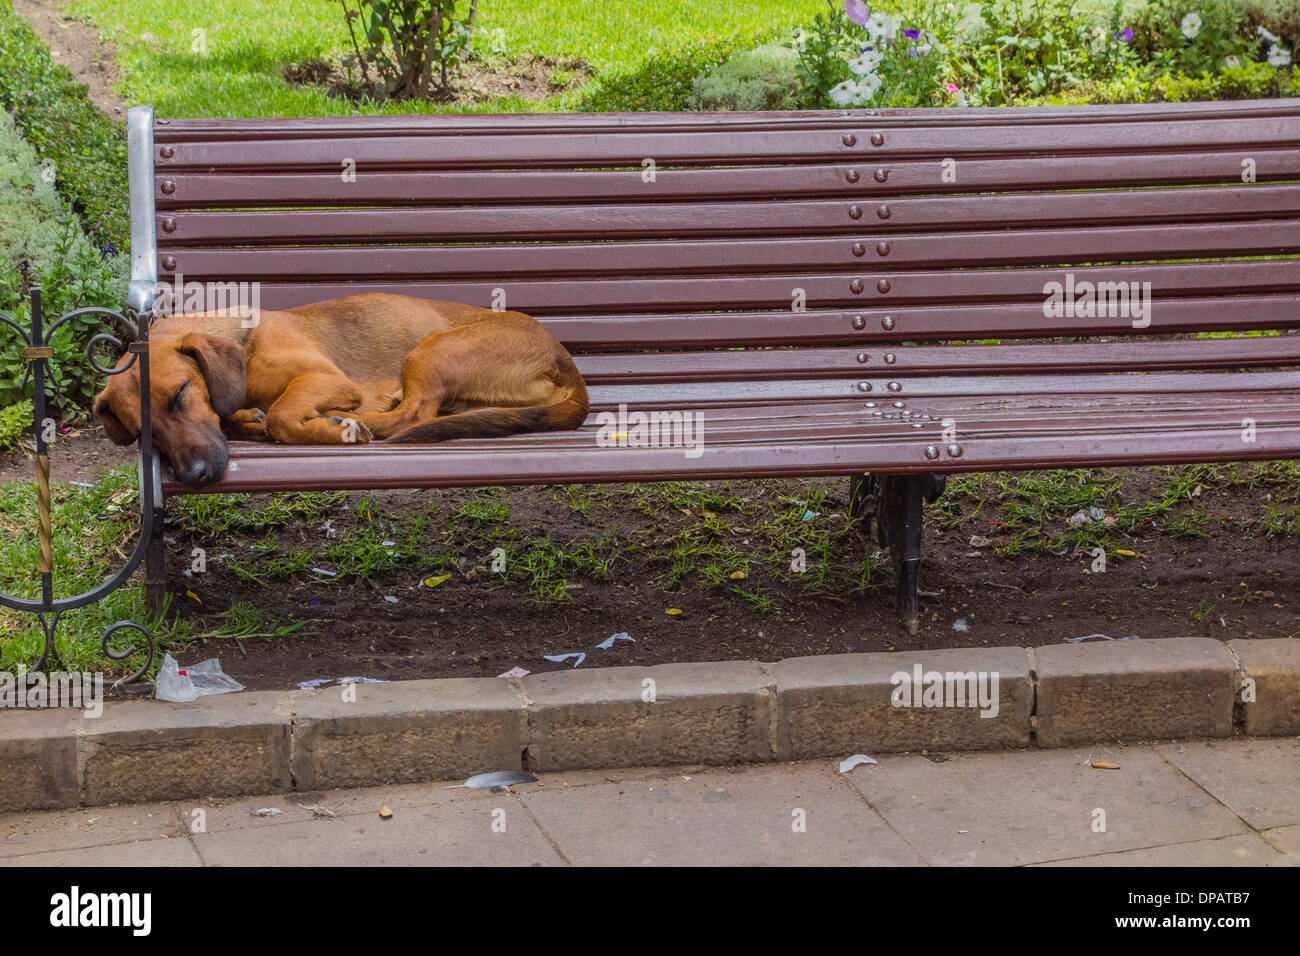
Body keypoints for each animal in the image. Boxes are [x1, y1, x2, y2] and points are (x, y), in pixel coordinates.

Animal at [94, 291, 592, 486]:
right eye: (143, 434)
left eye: (180, 394)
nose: (194, 475)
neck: (244, 339)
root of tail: (565, 361)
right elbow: (246, 418)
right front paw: (248, 421)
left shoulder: (325, 378)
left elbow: (283, 416)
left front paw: (327, 427)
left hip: (433, 348)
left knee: (412, 415)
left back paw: (354, 422)